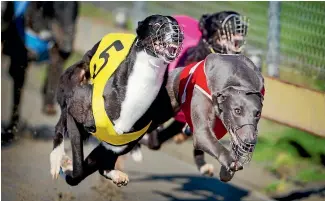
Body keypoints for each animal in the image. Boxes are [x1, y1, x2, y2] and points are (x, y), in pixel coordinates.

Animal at [49, 14, 184, 187]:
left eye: (176, 25)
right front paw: (66, 164)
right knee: (60, 125)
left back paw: (115, 174)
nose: (178, 35)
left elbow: (86, 170)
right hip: (73, 80)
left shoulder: (115, 146)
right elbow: (78, 169)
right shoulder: (75, 117)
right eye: (157, 23)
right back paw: (56, 158)